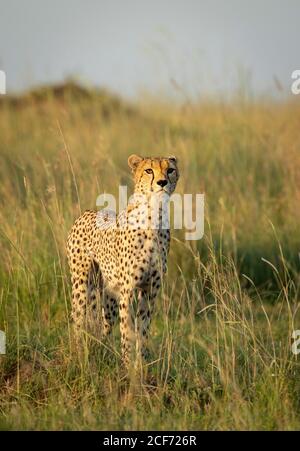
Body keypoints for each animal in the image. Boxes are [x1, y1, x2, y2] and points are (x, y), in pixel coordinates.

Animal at [67, 155, 179, 368]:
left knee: (105, 325)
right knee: (77, 319)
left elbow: (143, 329)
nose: (162, 182)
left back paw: (103, 350)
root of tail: (87, 212)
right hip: (82, 285)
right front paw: (128, 366)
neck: (154, 216)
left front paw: (141, 364)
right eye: (149, 170)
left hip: (109, 295)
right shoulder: (128, 292)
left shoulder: (150, 290)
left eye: (170, 170)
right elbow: (127, 331)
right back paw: (78, 354)